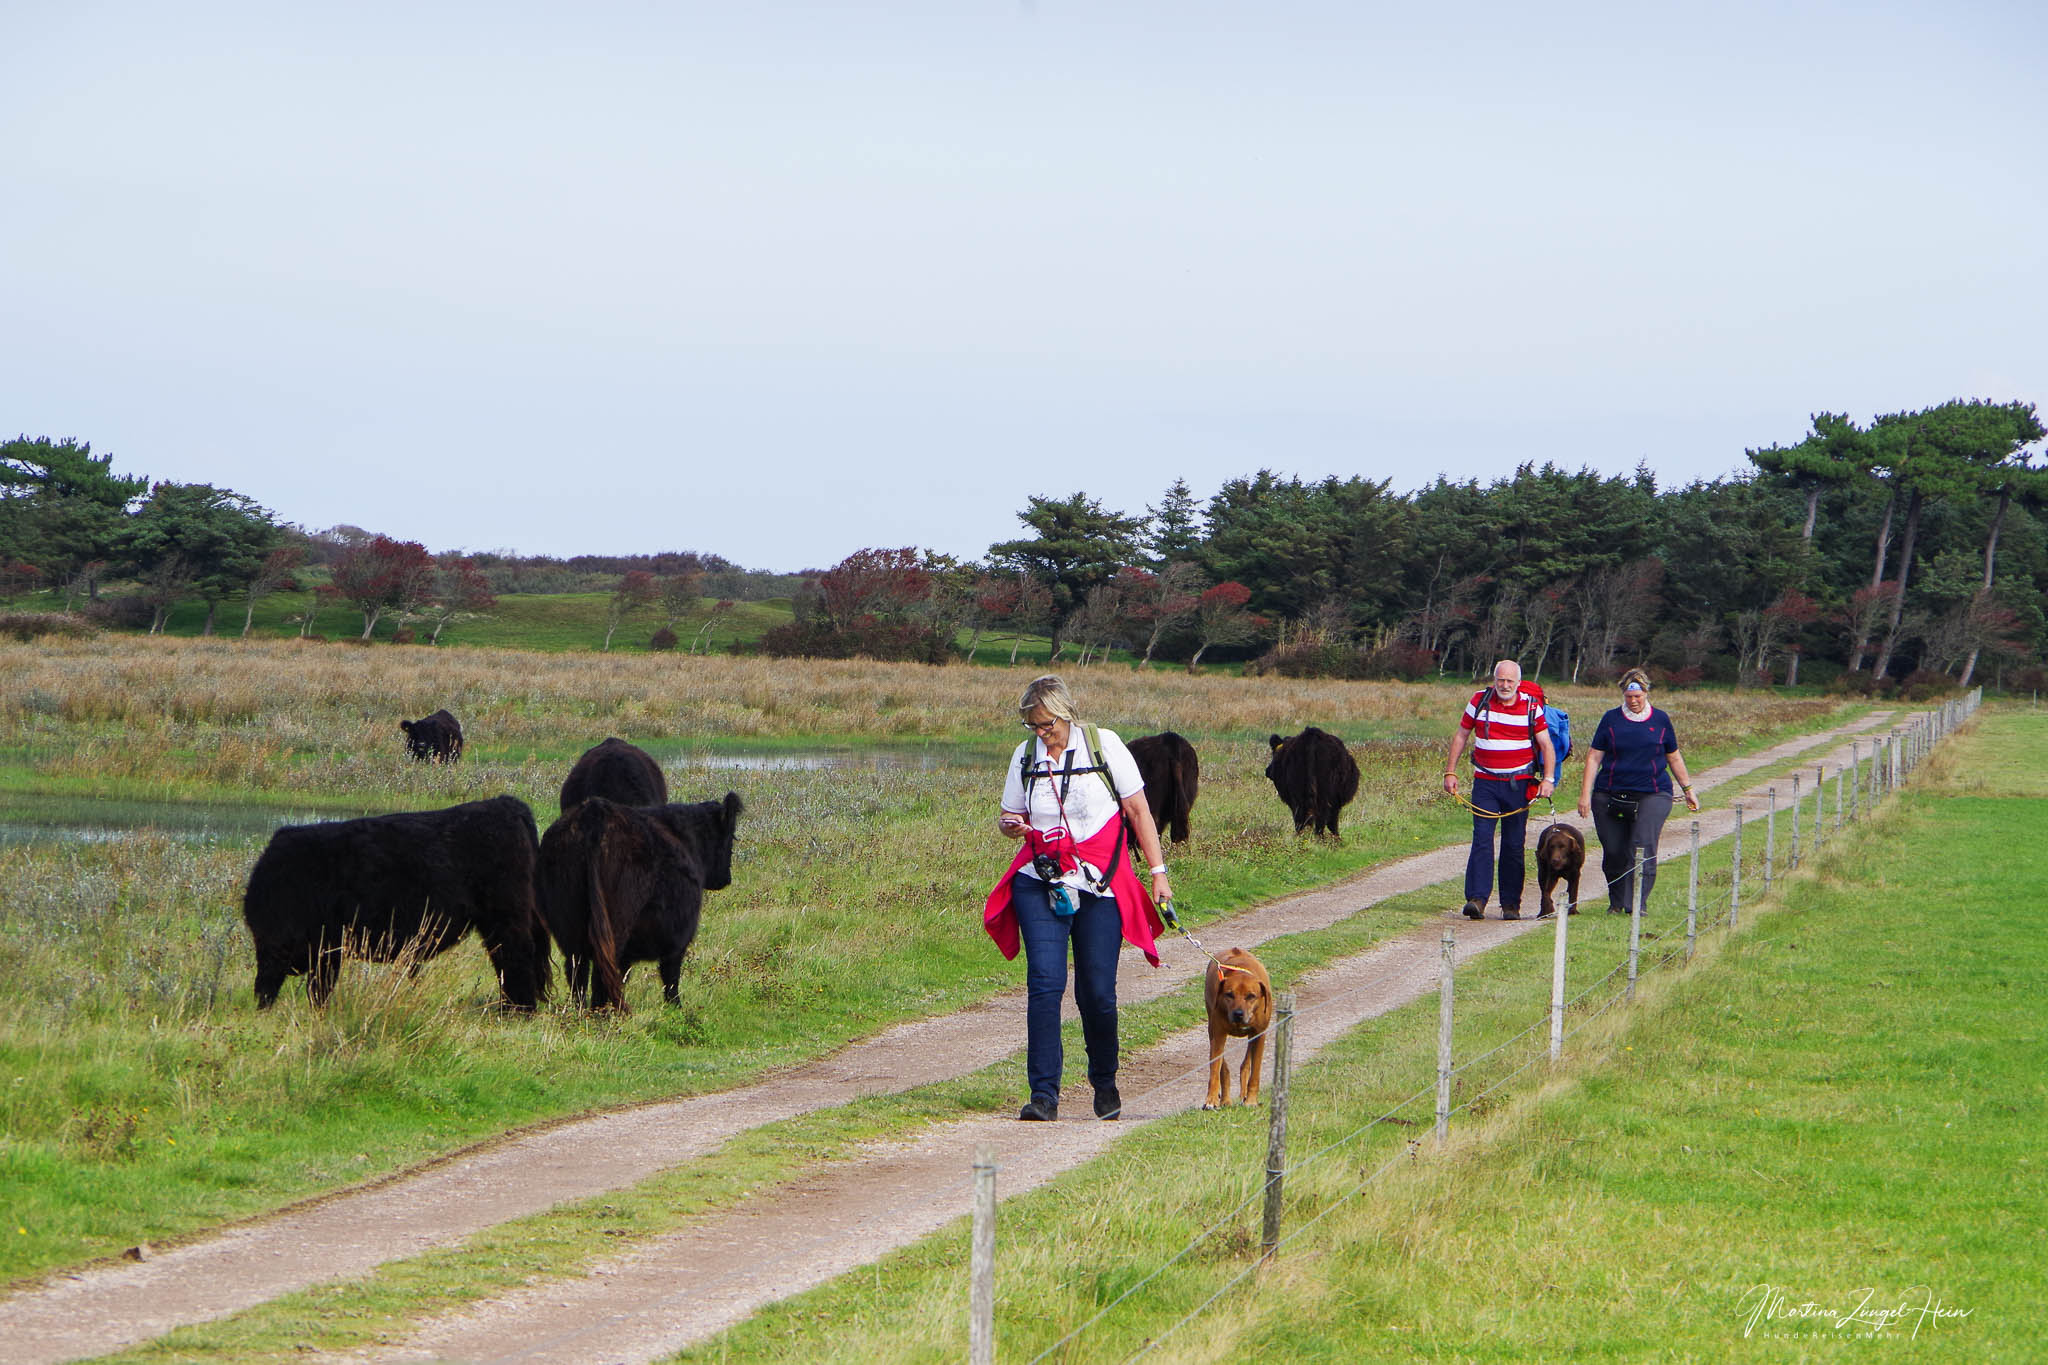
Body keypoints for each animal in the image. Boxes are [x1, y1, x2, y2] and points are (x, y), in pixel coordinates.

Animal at [240, 794, 548, 1010]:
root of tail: (504, 803)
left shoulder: (321, 945)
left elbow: (305, 985)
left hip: (505, 917)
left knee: (515, 957)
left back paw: (517, 1010)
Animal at [536, 789, 745, 1015]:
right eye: (732, 836)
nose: (726, 879)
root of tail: (595, 812)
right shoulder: (679, 938)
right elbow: (671, 979)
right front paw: (677, 1010)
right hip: (616, 925)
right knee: (601, 972)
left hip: (569, 926)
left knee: (577, 970)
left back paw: (583, 1012)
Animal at [1196, 949, 1261, 1113]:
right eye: (1229, 994)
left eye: (1251, 996)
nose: (1238, 1013)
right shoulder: (1218, 1034)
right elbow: (1217, 1070)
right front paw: (1212, 1100)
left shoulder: (1258, 1032)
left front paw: (1250, 1100)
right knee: (1223, 1069)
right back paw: (1225, 1099)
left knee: (1245, 1064)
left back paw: (1243, 1095)